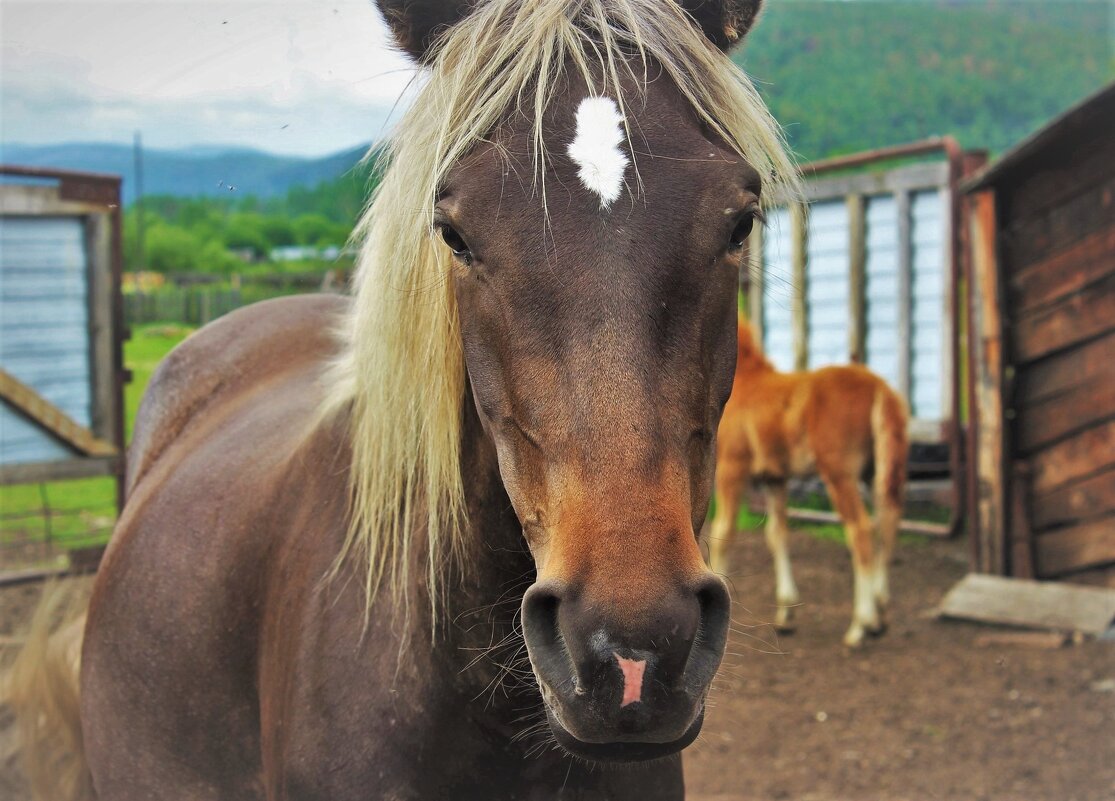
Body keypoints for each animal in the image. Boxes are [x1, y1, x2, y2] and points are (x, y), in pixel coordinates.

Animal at [709, 319, 909, 647]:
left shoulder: (731, 468)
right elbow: (777, 534)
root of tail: (880, 387)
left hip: (839, 474)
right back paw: (880, 612)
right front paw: (785, 614)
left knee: (861, 530)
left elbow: (723, 531)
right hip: (879, 471)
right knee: (888, 522)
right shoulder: (775, 478)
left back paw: (860, 624)